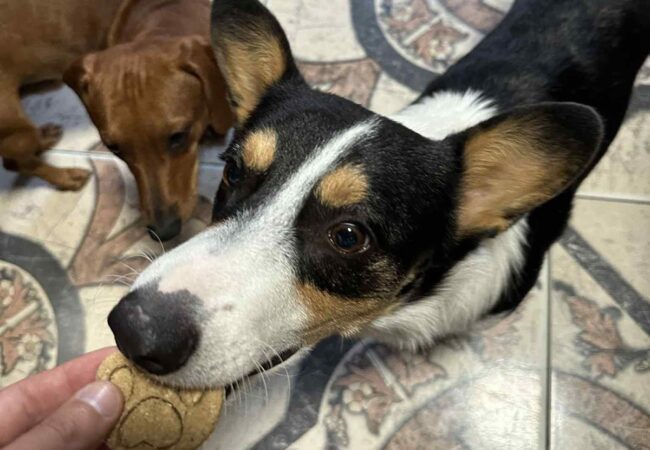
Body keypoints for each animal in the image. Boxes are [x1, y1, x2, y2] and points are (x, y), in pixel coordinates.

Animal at [0, 0, 233, 241]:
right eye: (114, 148)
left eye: (179, 136)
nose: (163, 231)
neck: (164, 9)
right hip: (15, 124)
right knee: (13, 160)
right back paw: (65, 176)